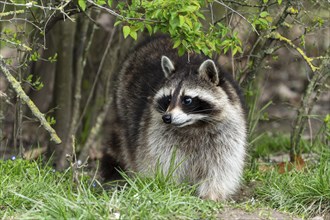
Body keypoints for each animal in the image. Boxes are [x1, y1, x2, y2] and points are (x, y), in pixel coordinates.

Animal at [102, 35, 246, 201]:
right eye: (168, 99)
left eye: (187, 100)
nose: (167, 118)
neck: (194, 125)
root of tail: (159, 36)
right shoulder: (158, 133)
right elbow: (164, 161)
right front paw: (169, 188)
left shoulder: (227, 131)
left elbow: (221, 164)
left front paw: (212, 193)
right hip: (124, 107)